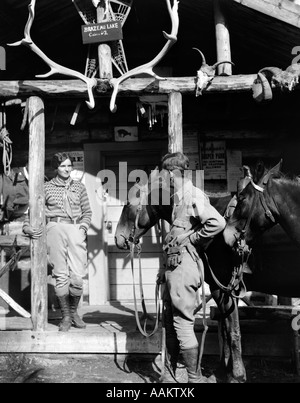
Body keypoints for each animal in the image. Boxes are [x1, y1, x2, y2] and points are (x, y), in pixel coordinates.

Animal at [113, 181, 247, 384]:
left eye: (128, 205)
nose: (117, 239)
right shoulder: (223, 289)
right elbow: (224, 327)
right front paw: (225, 370)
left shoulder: (223, 288)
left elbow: (232, 328)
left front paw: (236, 374)